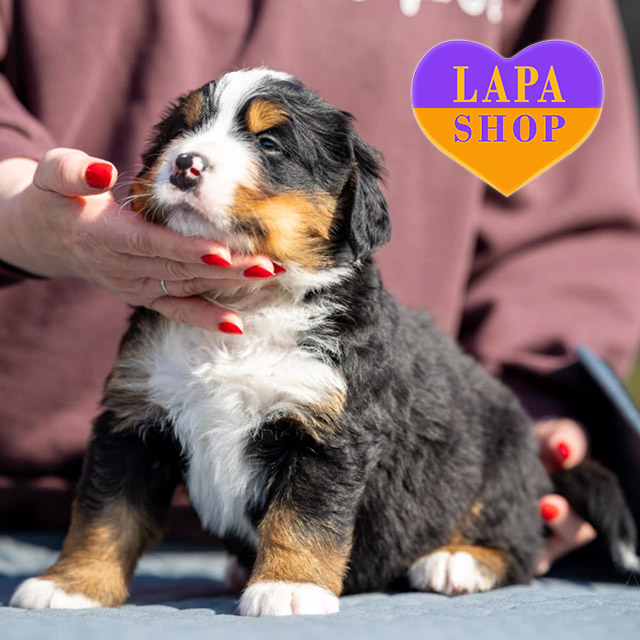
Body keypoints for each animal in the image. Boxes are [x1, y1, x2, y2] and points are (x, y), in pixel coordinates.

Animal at [11, 68, 639, 615]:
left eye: (269, 143)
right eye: (177, 133)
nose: (185, 164)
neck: (245, 308)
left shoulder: (328, 431)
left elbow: (302, 519)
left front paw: (287, 589)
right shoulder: (134, 417)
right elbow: (104, 513)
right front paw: (71, 585)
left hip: (499, 464)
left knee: (519, 543)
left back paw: (457, 561)